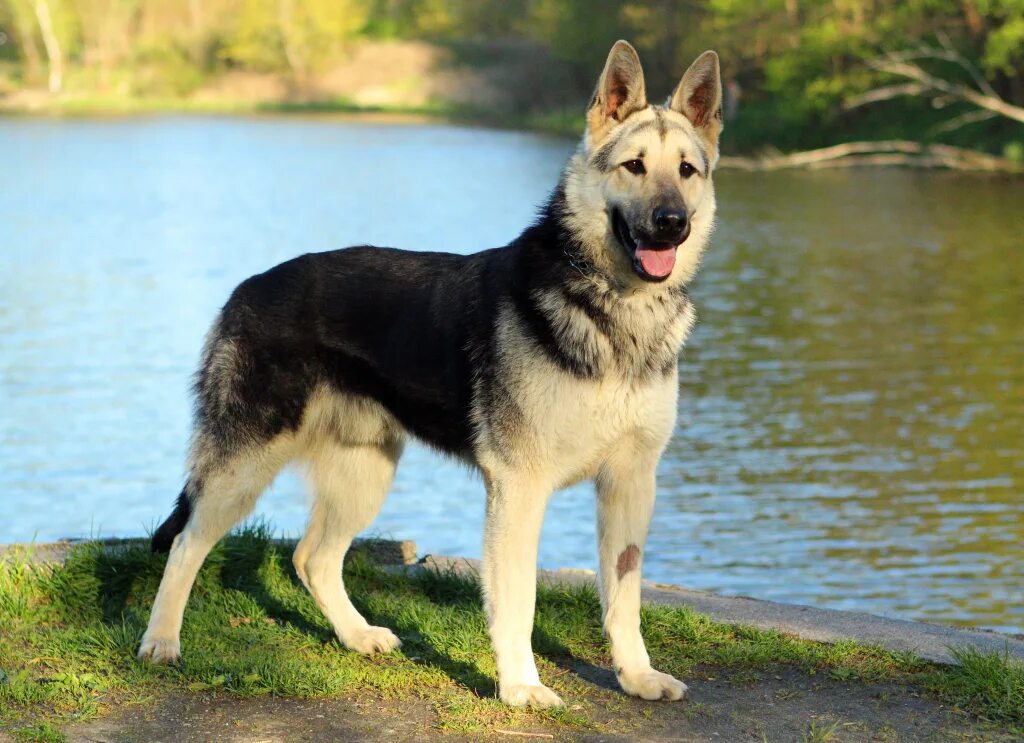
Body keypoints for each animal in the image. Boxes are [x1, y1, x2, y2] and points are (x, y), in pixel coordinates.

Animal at [140, 40, 724, 708]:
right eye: (634, 166)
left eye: (687, 171)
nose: (671, 222)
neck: (613, 308)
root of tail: (245, 287)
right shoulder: (520, 489)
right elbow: (518, 603)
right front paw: (521, 688)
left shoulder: (630, 483)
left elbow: (624, 599)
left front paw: (635, 675)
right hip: (245, 466)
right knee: (187, 543)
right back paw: (160, 642)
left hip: (365, 473)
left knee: (312, 558)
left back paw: (357, 636)